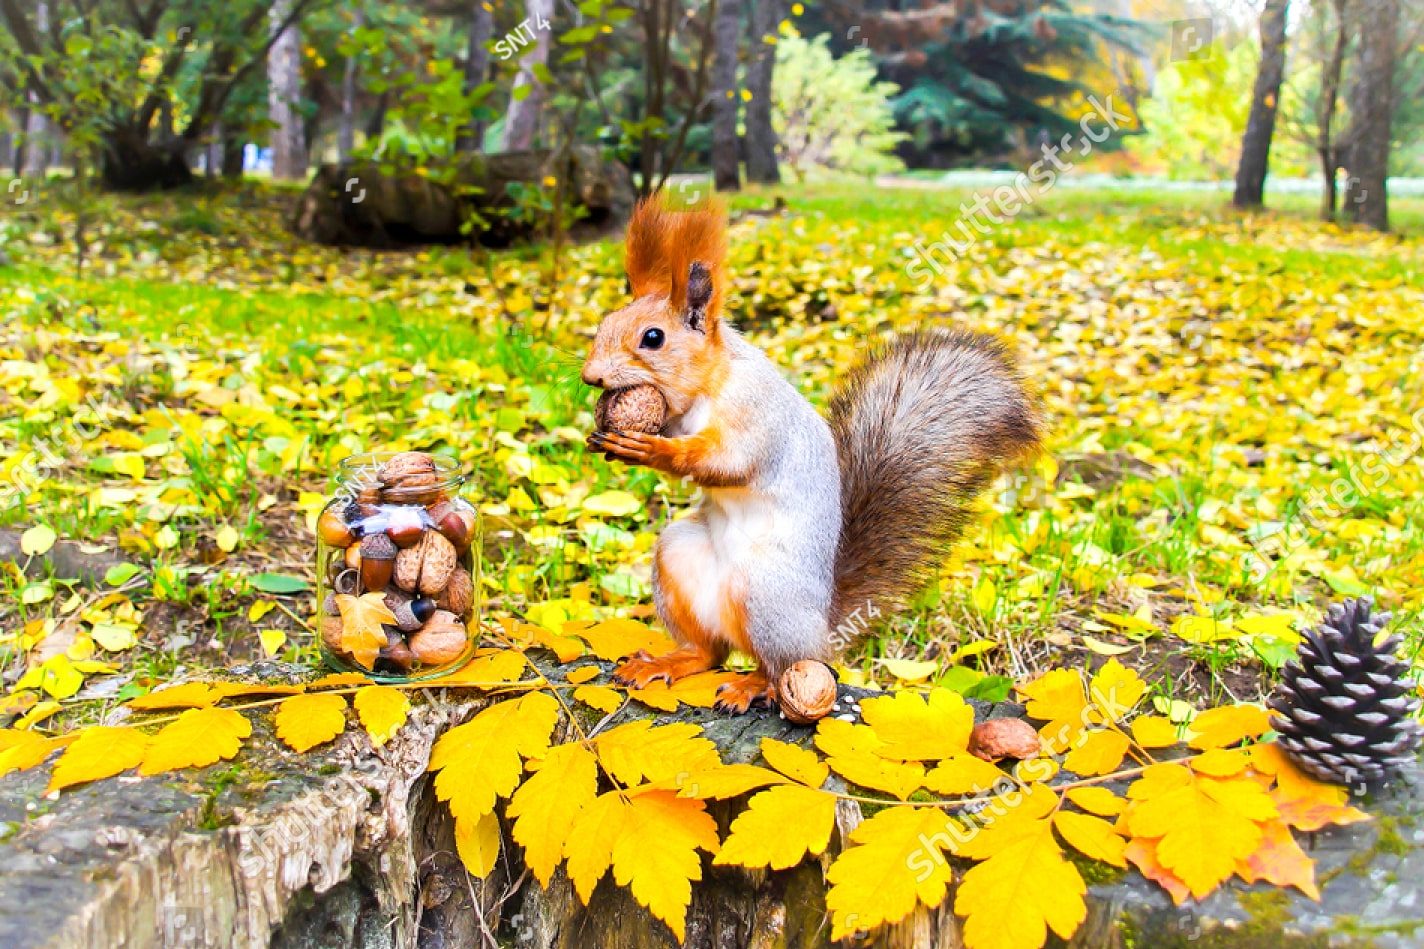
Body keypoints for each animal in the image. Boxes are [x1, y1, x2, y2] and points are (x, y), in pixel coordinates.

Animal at [583, 195, 1042, 713]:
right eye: (604, 325)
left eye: (653, 338)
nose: (590, 376)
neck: (707, 387)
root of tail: (823, 628)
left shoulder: (756, 415)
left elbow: (727, 461)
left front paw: (650, 447)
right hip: (677, 558)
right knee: (709, 652)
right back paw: (667, 662)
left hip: (766, 595)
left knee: (778, 665)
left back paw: (754, 686)